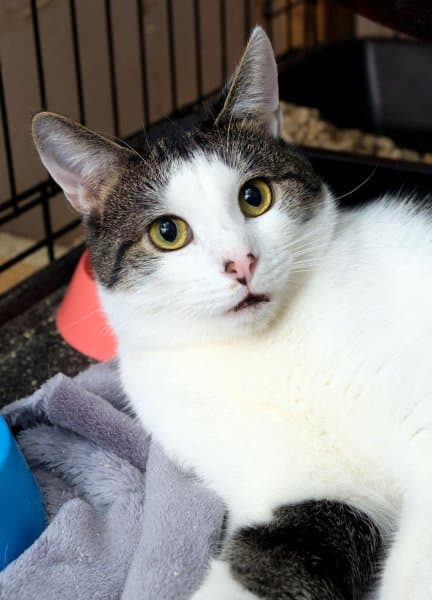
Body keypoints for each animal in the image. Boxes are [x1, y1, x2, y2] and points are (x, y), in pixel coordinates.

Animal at [31, 26, 432, 599]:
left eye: (255, 196)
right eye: (167, 232)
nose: (241, 263)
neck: (257, 355)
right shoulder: (307, 488)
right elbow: (284, 557)